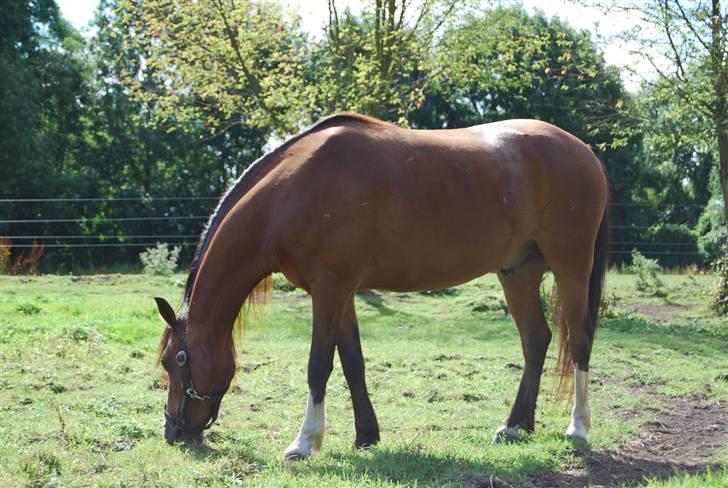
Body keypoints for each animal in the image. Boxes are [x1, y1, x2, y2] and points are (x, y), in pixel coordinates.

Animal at [154, 113, 608, 458]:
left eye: (173, 361)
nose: (173, 432)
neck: (293, 190)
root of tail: (584, 152)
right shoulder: (341, 293)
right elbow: (352, 362)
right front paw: (366, 436)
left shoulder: (330, 289)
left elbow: (319, 365)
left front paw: (305, 442)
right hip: (518, 272)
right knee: (536, 339)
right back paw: (516, 426)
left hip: (570, 266)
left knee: (580, 340)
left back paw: (577, 428)